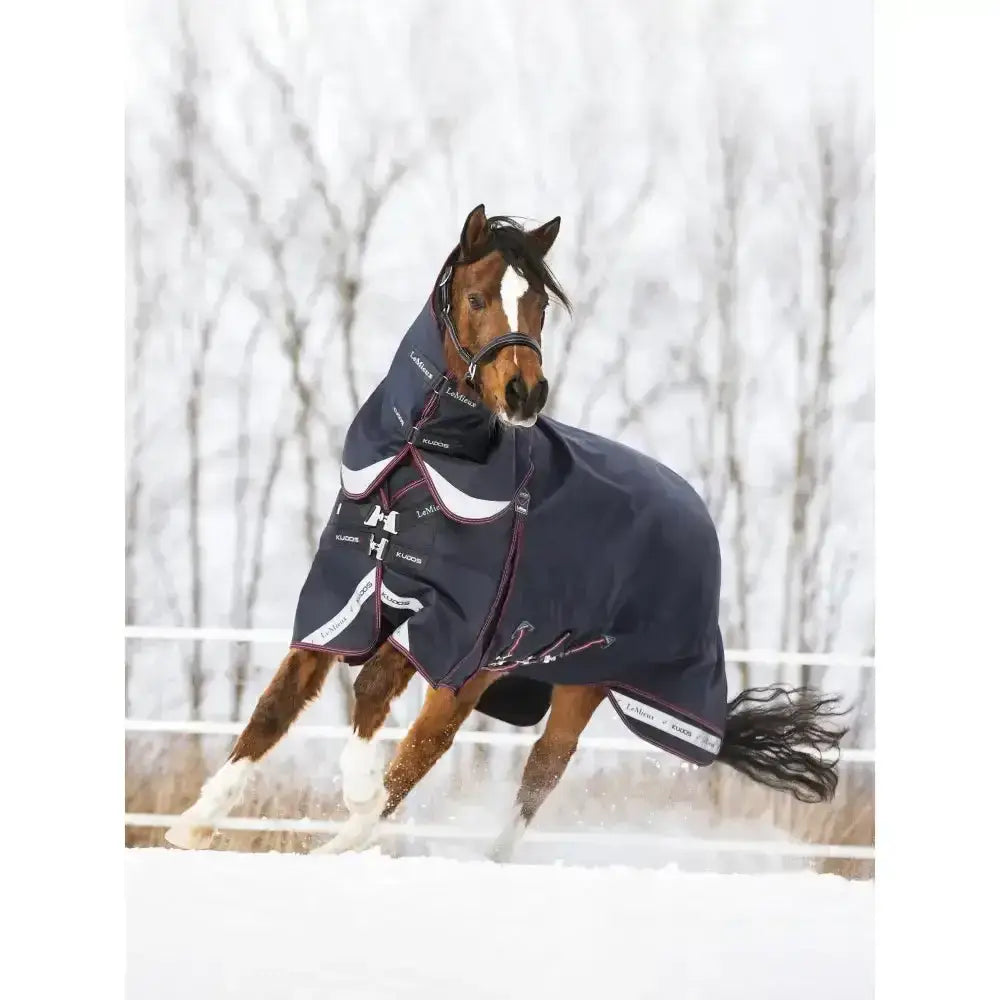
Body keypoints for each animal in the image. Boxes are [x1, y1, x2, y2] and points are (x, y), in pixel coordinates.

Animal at [165, 205, 847, 859]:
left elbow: (371, 687)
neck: (414, 464)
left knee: (517, 768)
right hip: (499, 671)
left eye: (539, 306)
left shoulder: (449, 624)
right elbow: (275, 707)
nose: (526, 392)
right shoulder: (349, 597)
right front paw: (192, 826)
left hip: (565, 681)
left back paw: (376, 841)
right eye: (475, 299)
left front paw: (355, 789)